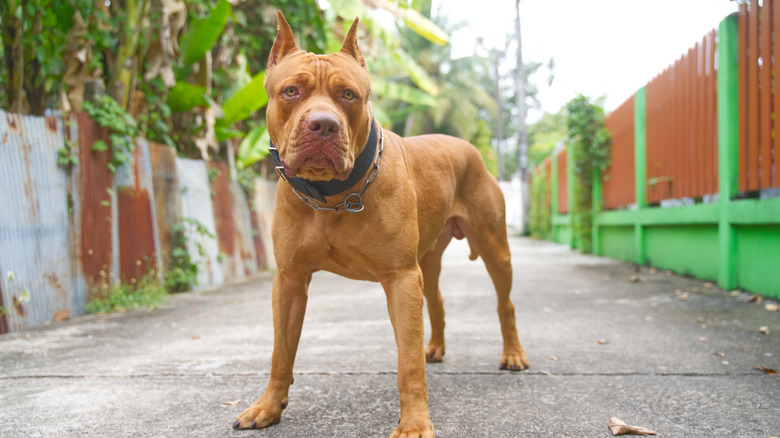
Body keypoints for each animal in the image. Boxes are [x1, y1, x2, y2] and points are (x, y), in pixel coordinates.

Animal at [236, 12, 532, 436]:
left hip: (495, 248)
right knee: (437, 300)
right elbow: (281, 350)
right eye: (291, 91)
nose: (323, 125)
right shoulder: (289, 281)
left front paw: (414, 424)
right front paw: (268, 406)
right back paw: (435, 347)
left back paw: (513, 353)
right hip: (428, 259)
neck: (332, 196)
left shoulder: (401, 279)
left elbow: (407, 363)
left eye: (348, 95)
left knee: (504, 302)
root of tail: (466, 145)